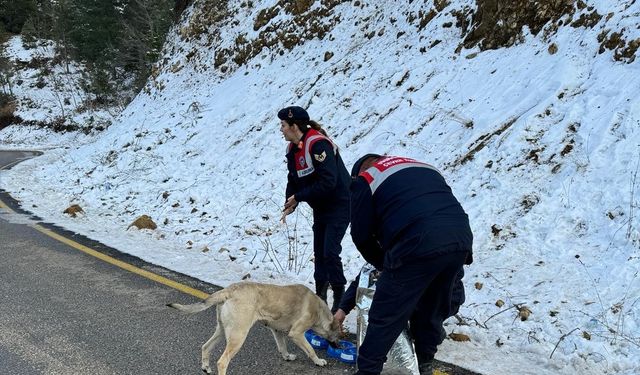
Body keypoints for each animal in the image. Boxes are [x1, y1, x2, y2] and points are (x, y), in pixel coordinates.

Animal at [168, 282, 342, 375]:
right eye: (339, 335)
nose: (340, 346)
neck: (319, 310)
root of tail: (228, 290)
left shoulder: (277, 331)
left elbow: (282, 346)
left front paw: (287, 356)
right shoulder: (297, 333)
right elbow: (310, 350)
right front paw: (318, 361)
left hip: (222, 330)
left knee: (205, 346)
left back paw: (206, 367)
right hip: (238, 336)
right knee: (222, 361)